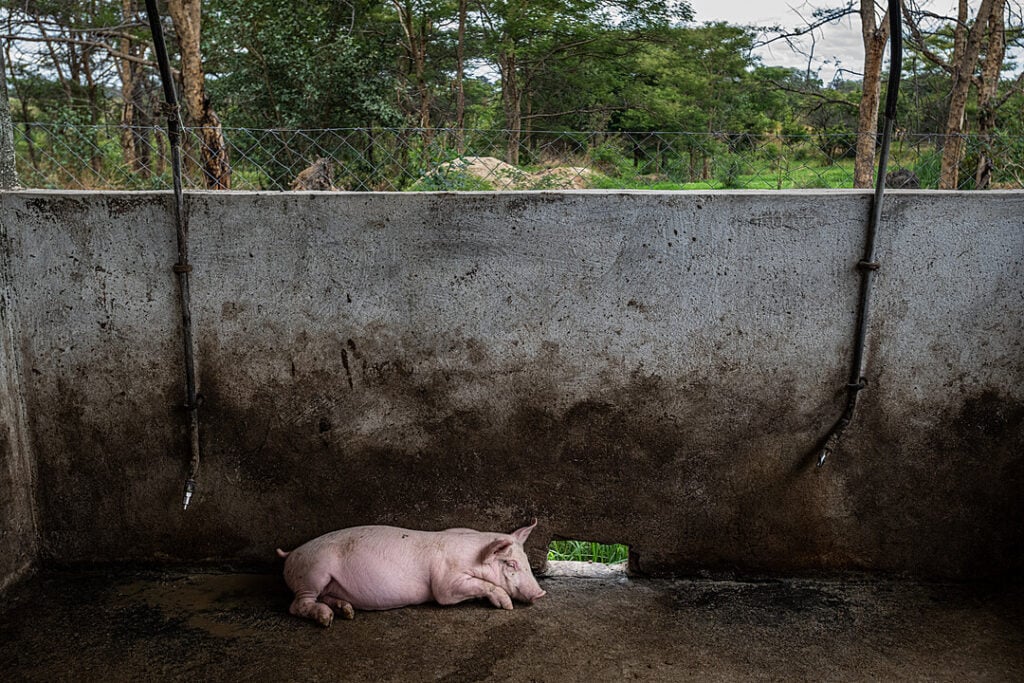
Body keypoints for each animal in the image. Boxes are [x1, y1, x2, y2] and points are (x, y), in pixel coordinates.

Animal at [272, 518, 544, 626]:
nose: (540, 593)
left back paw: (346, 612)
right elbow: (466, 588)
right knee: (297, 604)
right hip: (313, 573)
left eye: (525, 560)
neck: (474, 556)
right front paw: (506, 605)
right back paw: (326, 619)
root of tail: (291, 553)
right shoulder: (446, 583)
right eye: (511, 564)